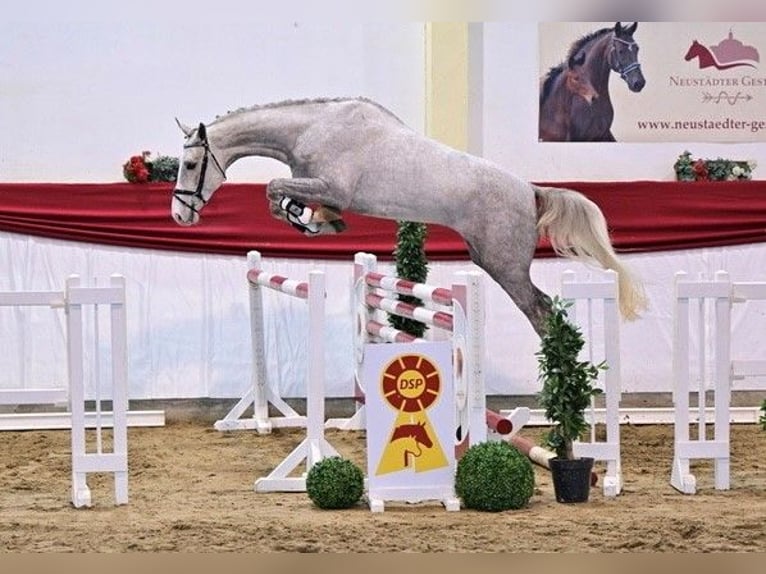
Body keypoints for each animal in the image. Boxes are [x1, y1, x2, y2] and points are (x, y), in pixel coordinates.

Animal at [172, 95, 648, 338]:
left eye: (191, 165)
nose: (179, 216)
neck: (313, 127)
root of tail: (530, 191)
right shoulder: (321, 187)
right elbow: (284, 196)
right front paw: (317, 222)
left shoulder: (332, 186)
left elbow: (273, 190)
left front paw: (308, 220)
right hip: (489, 259)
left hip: (505, 266)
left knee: (541, 310)